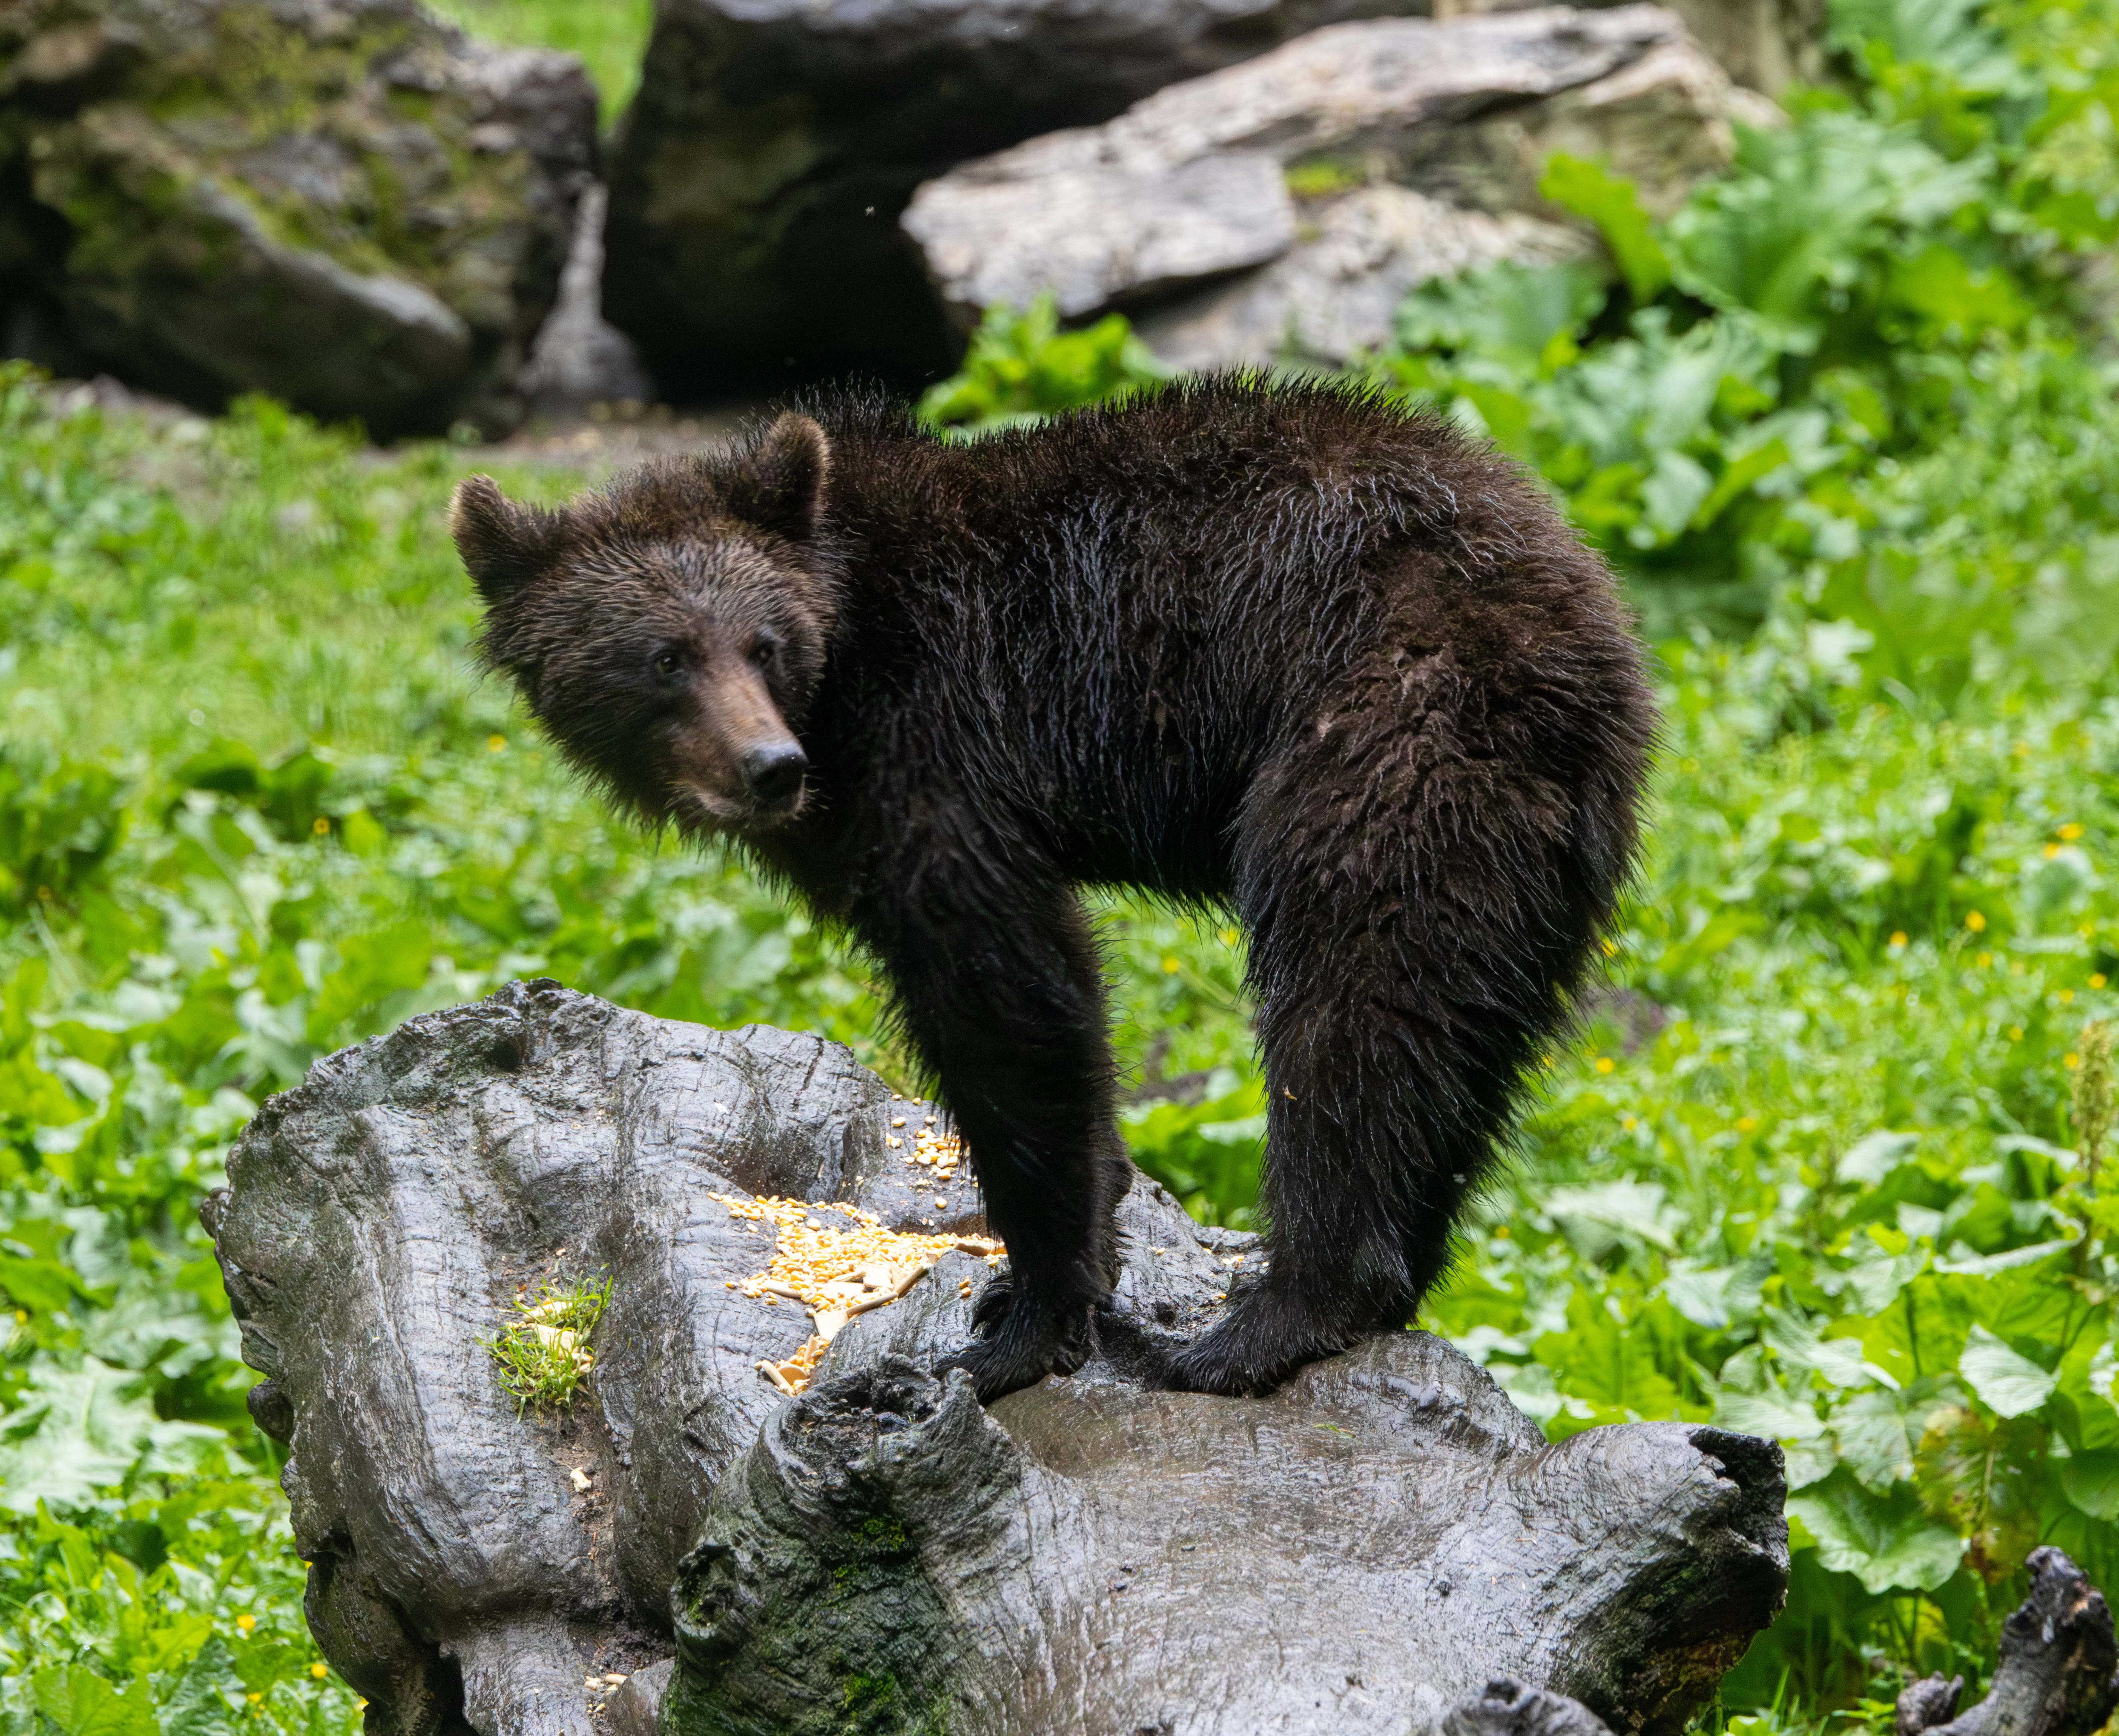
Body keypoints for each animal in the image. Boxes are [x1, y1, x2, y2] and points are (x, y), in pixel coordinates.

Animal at [449, 377, 1657, 1403]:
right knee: (1461, 1040)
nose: (768, 767)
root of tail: (1591, 620)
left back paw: (1253, 1325)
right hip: (1532, 859)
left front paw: (1016, 1322)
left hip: (1383, 742)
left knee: (1355, 1008)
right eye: (664, 658)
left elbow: (1003, 995)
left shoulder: (939, 739)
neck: (848, 651)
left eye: (762, 640)